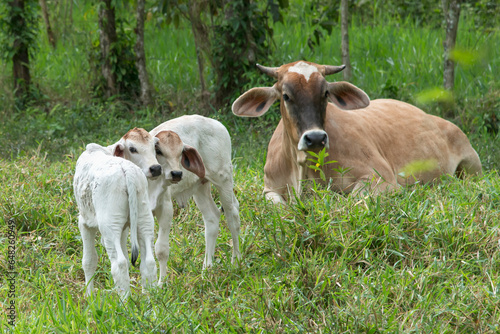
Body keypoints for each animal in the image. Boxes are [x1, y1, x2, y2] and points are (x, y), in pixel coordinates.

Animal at [148, 115, 242, 282]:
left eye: (180, 153)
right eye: (158, 151)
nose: (176, 173)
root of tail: (215, 122)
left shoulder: (165, 207)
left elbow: (161, 249)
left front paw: (161, 284)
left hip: (223, 178)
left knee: (232, 216)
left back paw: (235, 262)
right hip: (200, 186)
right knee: (212, 217)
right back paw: (207, 269)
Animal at [232, 59, 482, 204]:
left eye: (325, 93)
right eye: (285, 95)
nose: (315, 138)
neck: (302, 168)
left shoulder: (382, 179)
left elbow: (351, 200)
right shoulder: (269, 189)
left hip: (472, 166)